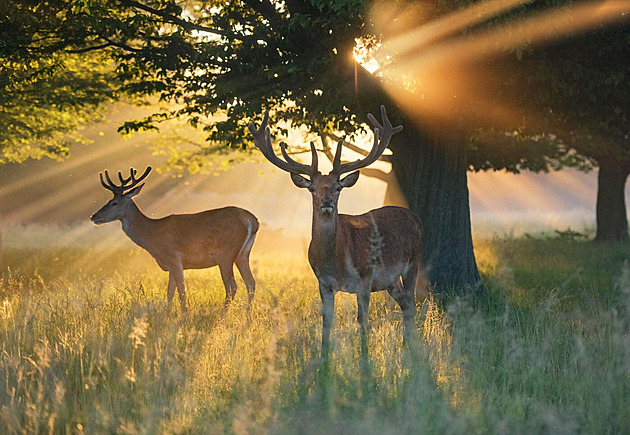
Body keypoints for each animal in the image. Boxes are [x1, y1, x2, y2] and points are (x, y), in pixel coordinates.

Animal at [90, 167, 260, 314]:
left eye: (114, 203)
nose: (94, 216)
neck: (150, 234)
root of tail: (252, 220)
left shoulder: (174, 258)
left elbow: (181, 291)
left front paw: (184, 316)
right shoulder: (170, 265)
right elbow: (169, 293)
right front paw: (167, 316)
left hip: (225, 254)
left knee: (232, 286)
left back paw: (222, 316)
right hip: (243, 254)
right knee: (251, 282)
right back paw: (248, 317)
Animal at [249, 106, 422, 358]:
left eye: (338, 187)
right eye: (312, 188)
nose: (327, 201)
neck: (336, 259)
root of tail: (416, 217)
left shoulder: (364, 277)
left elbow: (362, 321)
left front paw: (365, 358)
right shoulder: (324, 282)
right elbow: (326, 322)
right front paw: (324, 358)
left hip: (413, 262)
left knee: (412, 304)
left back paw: (411, 350)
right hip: (390, 280)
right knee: (405, 304)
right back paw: (405, 345)